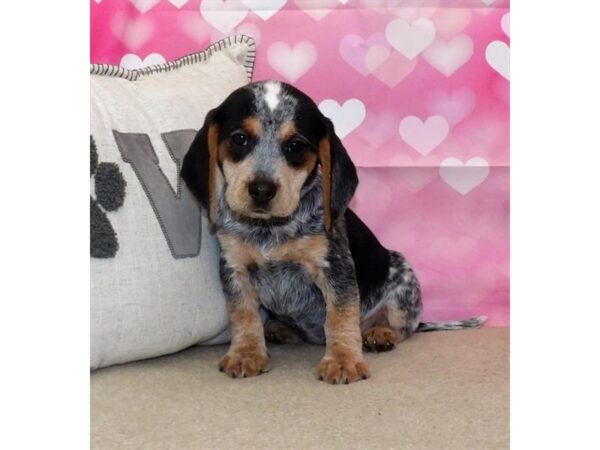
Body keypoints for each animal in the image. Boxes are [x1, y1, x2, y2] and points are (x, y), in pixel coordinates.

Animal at [180, 80, 486, 384]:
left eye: (296, 145)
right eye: (239, 138)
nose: (262, 190)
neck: (270, 229)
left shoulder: (335, 268)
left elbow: (340, 316)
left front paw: (342, 360)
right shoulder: (235, 269)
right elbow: (243, 315)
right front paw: (246, 353)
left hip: (402, 276)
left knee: (402, 327)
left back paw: (380, 333)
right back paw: (279, 328)